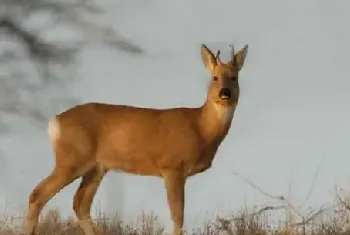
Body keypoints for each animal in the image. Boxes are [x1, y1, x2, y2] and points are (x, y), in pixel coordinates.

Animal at [25, 43, 249, 234]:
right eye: (215, 77)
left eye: (234, 77)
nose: (225, 92)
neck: (201, 129)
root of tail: (54, 122)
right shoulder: (172, 166)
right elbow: (178, 216)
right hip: (72, 157)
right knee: (38, 194)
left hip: (97, 167)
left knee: (80, 203)